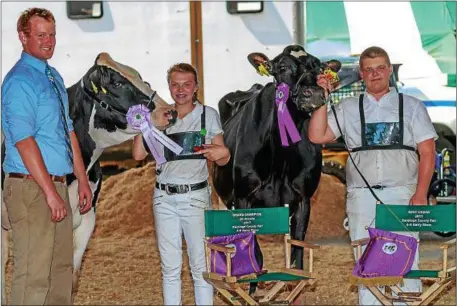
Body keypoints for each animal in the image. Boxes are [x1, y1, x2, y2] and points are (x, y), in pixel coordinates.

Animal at [213, 44, 338, 268]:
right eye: (282, 67)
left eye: (319, 68)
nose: (314, 93)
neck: (280, 160)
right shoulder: (243, 198)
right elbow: (255, 252)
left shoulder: (303, 199)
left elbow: (297, 252)